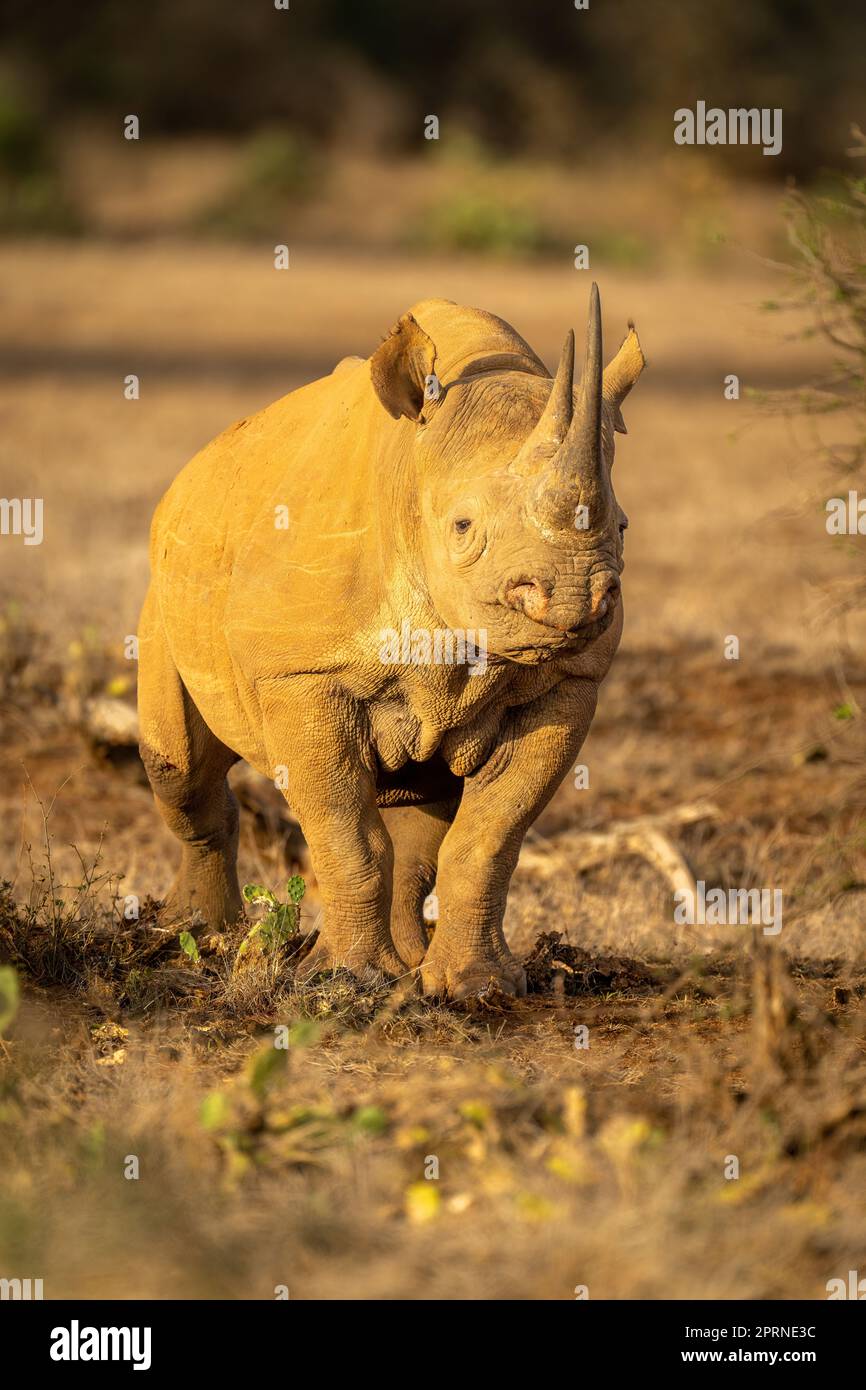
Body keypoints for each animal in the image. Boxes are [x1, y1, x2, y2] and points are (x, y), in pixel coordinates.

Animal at [138, 285, 645, 999]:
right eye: (462, 527)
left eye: (621, 528)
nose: (574, 599)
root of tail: (196, 468)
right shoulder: (301, 674)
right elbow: (345, 832)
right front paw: (347, 981)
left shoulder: (570, 680)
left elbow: (488, 838)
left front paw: (475, 988)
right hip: (165, 584)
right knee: (180, 770)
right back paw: (204, 942)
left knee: (421, 804)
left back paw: (406, 970)